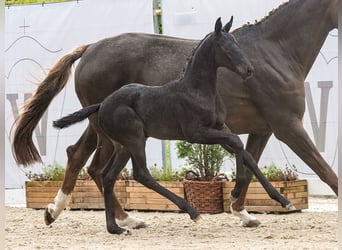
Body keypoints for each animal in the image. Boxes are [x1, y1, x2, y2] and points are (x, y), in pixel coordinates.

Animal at [54, 18, 294, 234]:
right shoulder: (196, 133)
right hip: (134, 139)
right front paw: (235, 193)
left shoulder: (220, 128)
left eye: (237, 43)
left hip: (123, 145)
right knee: (141, 173)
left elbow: (245, 153)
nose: (249, 70)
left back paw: (116, 227)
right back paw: (191, 212)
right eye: (226, 47)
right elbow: (237, 144)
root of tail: (102, 104)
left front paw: (282, 200)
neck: (197, 89)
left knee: (108, 175)